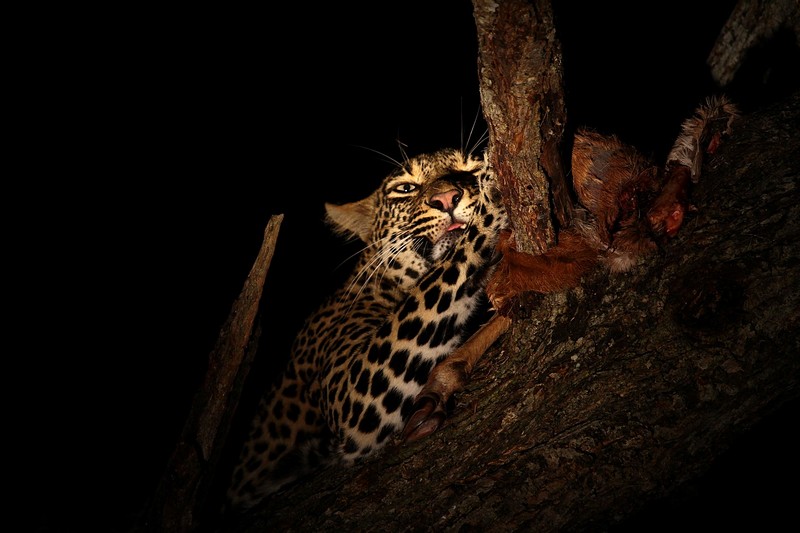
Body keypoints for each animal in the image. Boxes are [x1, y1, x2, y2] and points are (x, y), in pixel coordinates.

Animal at [226, 146, 509, 512]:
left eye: (468, 168)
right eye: (405, 189)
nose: (447, 197)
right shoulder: (351, 393)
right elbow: (445, 273)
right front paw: (493, 193)